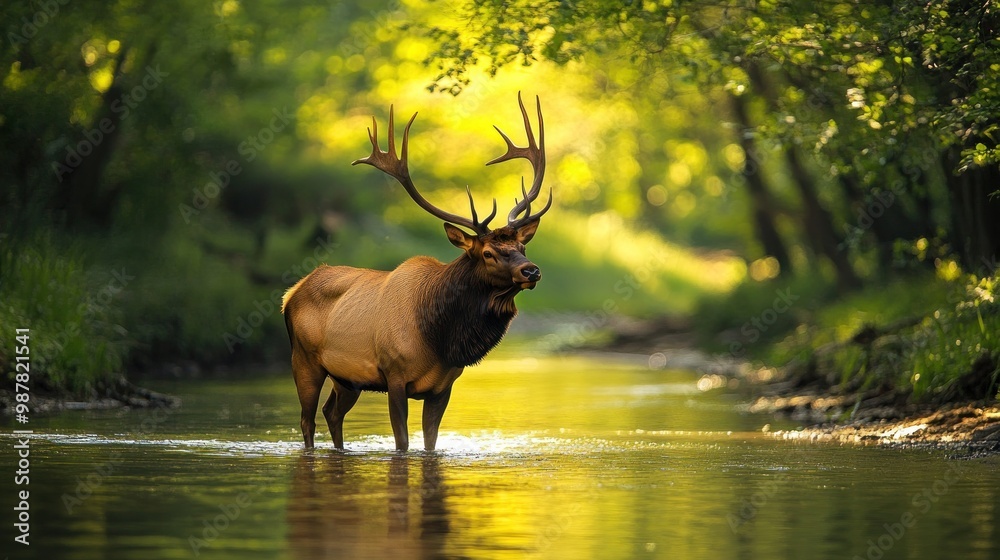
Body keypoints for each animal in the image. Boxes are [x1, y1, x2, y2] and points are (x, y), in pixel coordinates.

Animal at [281, 93, 551, 451]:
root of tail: (290, 293)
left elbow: (430, 442)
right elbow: (403, 442)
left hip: (347, 379)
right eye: (488, 253)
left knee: (332, 413)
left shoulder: (444, 385)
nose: (531, 270)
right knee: (307, 421)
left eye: (522, 246)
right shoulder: (394, 375)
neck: (440, 339)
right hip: (304, 360)